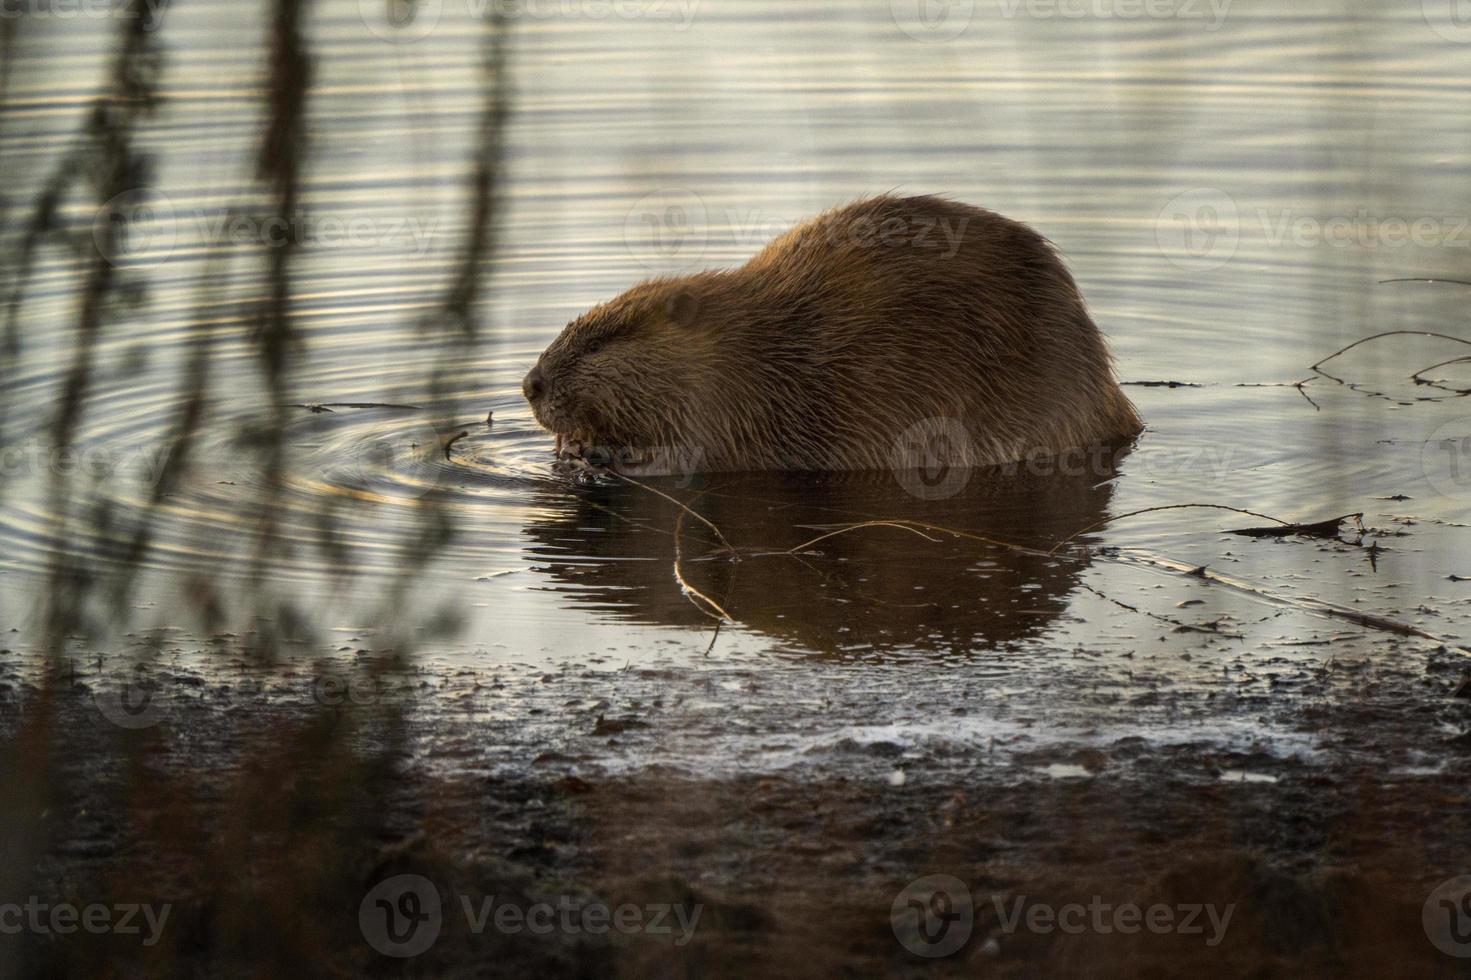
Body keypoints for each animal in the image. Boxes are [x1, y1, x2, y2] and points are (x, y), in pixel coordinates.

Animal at [523, 194, 1141, 473]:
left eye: (601, 341)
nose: (531, 384)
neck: (750, 351)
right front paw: (569, 445)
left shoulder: (734, 410)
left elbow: (691, 457)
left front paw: (594, 451)